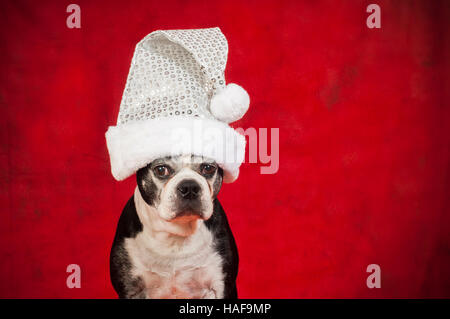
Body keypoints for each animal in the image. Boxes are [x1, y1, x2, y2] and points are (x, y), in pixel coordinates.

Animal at [109, 155, 239, 300]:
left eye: (208, 168)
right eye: (161, 170)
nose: (189, 186)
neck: (176, 232)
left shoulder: (219, 287)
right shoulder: (131, 289)